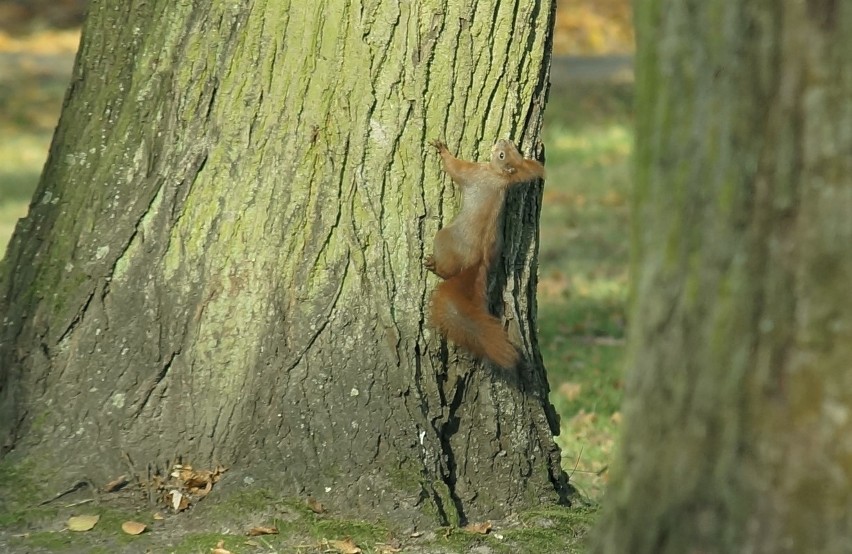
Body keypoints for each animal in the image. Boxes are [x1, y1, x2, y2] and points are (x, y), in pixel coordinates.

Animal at [426, 138, 544, 366]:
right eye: (514, 149)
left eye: (502, 155)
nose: (503, 140)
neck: (498, 176)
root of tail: (476, 262)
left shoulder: (474, 173)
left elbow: (456, 168)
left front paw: (442, 150)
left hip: (444, 239)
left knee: (446, 269)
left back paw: (433, 265)